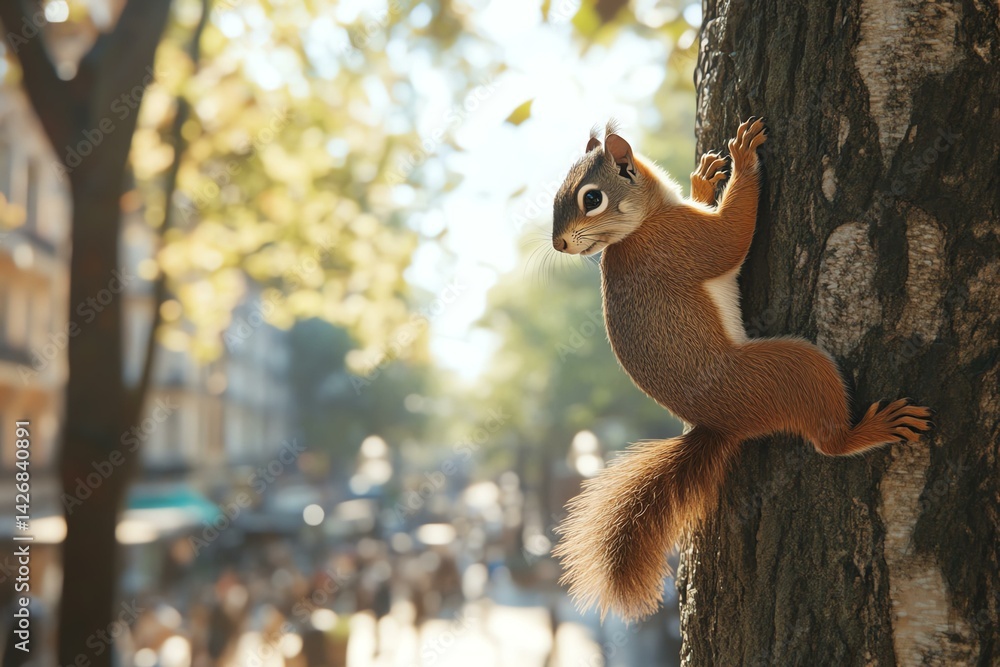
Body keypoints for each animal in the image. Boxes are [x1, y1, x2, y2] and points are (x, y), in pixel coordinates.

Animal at [549, 118, 932, 622]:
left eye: (590, 198)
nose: (558, 243)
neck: (642, 225)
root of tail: (723, 423)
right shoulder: (683, 242)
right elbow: (732, 237)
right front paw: (745, 158)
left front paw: (705, 178)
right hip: (790, 370)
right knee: (828, 441)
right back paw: (872, 429)